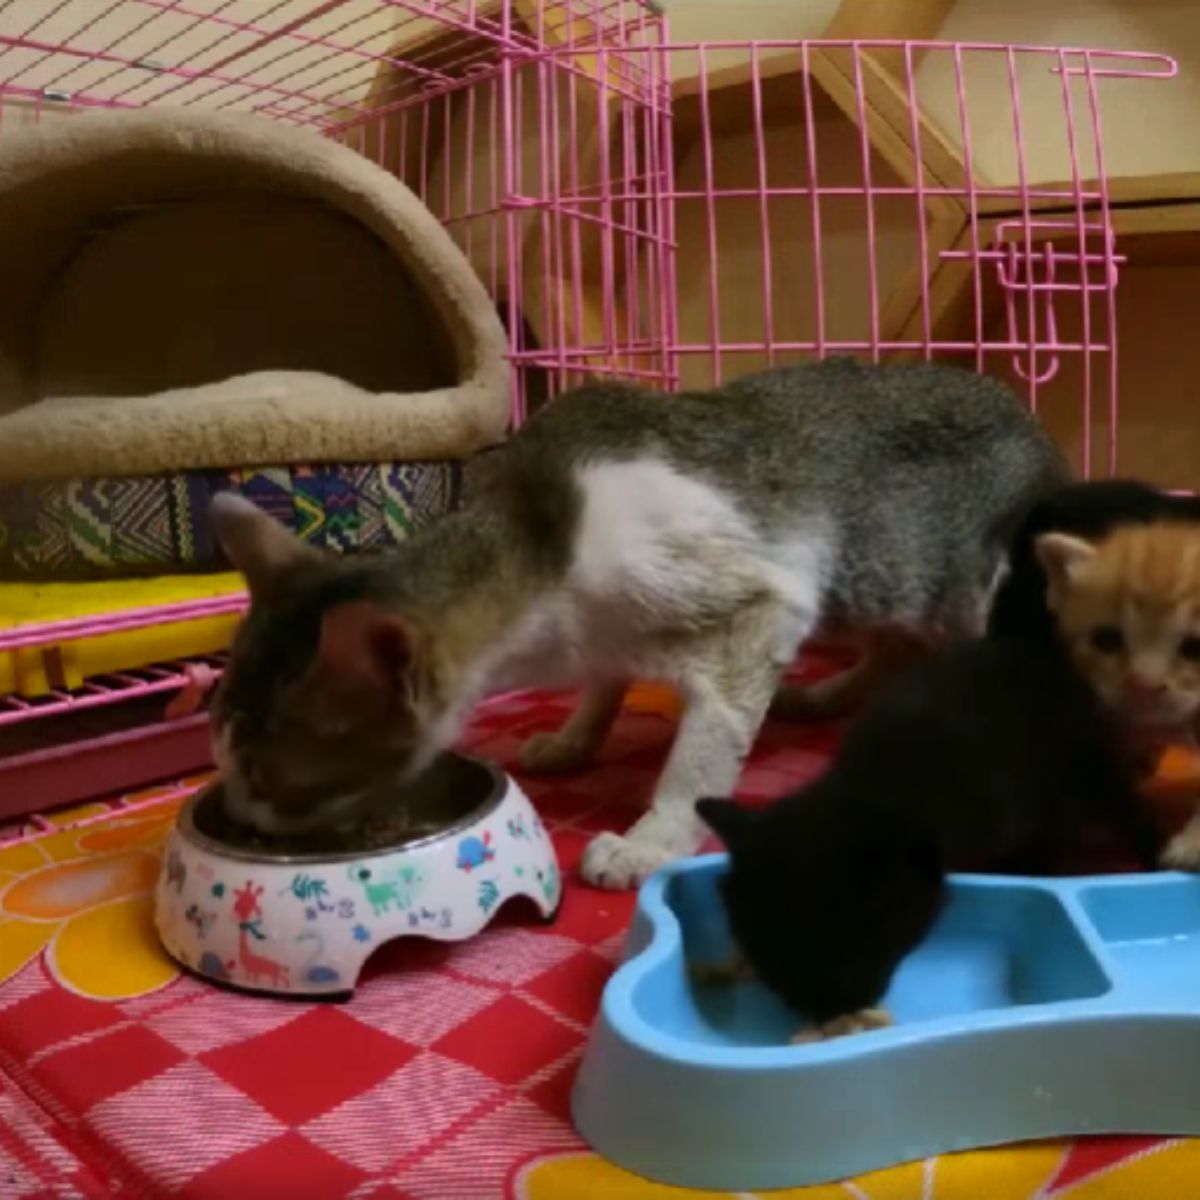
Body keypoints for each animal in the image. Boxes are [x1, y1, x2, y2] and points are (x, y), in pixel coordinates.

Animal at [208, 355, 1060, 892]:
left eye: (266, 776)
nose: (242, 819)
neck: (539, 539)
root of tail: (1023, 408)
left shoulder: (761, 607)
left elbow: (701, 754)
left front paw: (652, 840)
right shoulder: (607, 633)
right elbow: (602, 684)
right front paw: (574, 738)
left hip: (955, 578)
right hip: (876, 582)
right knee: (892, 642)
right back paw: (826, 695)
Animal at [696, 638, 1161, 1041]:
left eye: (845, 960)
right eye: (774, 967)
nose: (828, 1011)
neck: (875, 784)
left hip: (1085, 765)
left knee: (1119, 805)